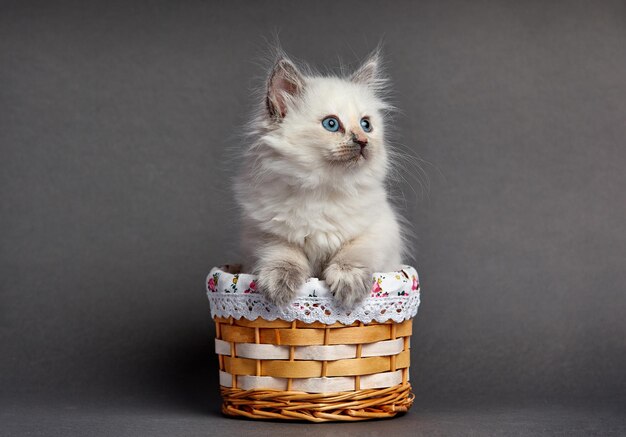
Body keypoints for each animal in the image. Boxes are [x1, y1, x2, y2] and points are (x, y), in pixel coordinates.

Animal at [234, 49, 404, 306]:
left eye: (366, 125)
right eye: (331, 124)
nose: (363, 141)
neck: (325, 188)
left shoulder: (378, 228)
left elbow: (353, 252)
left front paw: (348, 283)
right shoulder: (263, 232)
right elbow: (283, 253)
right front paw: (280, 285)